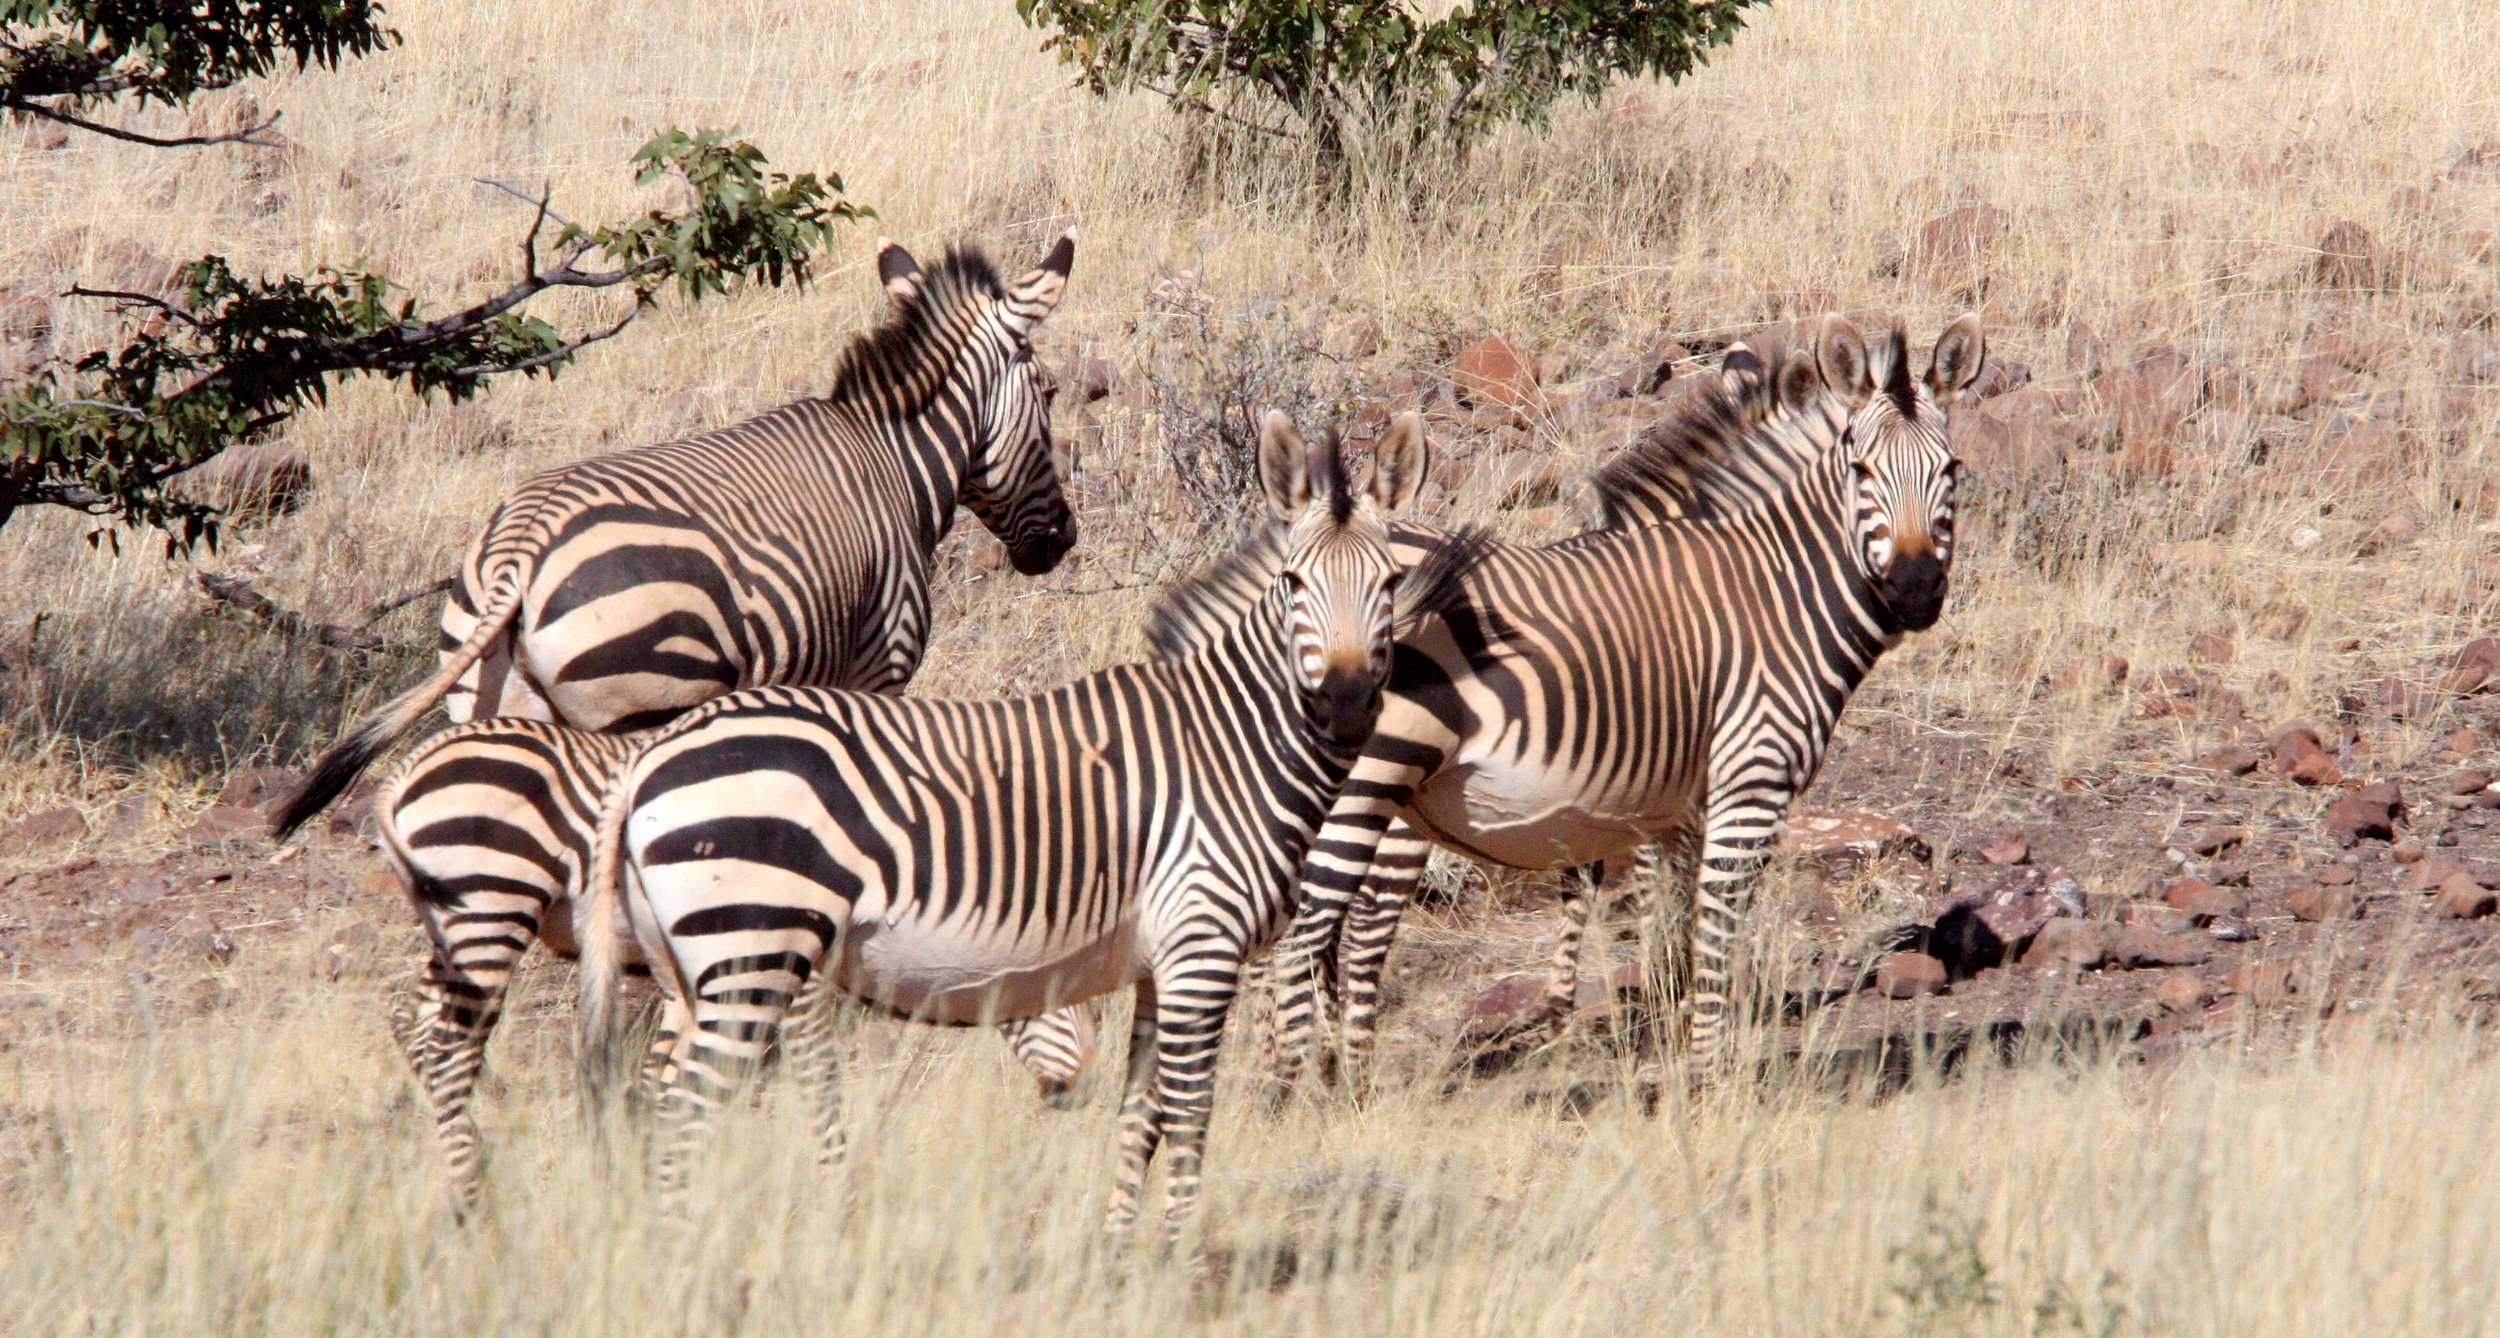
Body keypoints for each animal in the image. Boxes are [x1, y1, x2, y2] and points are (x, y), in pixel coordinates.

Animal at [270, 232, 1082, 840]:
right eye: (1050, 395)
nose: (1063, 542)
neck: (895, 458)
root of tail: (519, 551)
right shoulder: (879, 666)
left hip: (486, 699)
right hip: (641, 703)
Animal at [375, 718, 1101, 1212]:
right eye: (1066, 993)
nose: (1086, 1089)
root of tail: (405, 771)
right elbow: (803, 1073)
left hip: (451, 925)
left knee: (417, 1031)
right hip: (492, 907)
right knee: (448, 1050)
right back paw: (475, 1194)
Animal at [576, 410, 1484, 1248]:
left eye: (1390, 585)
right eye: (1295, 583)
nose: (1345, 708)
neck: (1233, 741)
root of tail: (649, 758)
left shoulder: (1158, 962)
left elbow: (1141, 1116)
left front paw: (1120, 1258)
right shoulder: (1203, 946)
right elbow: (1191, 1116)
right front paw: (1178, 1260)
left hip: (692, 965)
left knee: (659, 1103)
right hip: (750, 948)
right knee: (687, 1117)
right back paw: (689, 1263)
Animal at [1260, 314, 1984, 1097]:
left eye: (1952, 471)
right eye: (1861, 473)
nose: (1913, 587)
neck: (1776, 590)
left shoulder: (1672, 804)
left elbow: (1668, 923)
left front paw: (1656, 1037)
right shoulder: (1746, 783)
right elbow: (1707, 923)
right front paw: (1703, 1077)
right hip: (1373, 778)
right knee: (1314, 929)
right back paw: (1307, 1091)